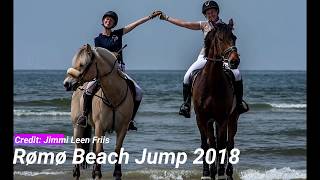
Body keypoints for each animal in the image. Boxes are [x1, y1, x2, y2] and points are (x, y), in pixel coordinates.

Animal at [62, 44, 134, 180]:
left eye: (82, 64)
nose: (66, 84)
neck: (114, 96)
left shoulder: (122, 128)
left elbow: (117, 150)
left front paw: (116, 174)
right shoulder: (100, 126)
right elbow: (99, 152)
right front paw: (97, 174)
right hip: (78, 127)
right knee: (79, 151)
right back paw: (77, 173)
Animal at [192, 19, 240, 179]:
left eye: (234, 37)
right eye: (219, 39)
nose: (234, 61)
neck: (212, 83)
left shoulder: (222, 118)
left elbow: (221, 146)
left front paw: (219, 173)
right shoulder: (202, 118)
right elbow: (207, 145)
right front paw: (207, 173)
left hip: (232, 118)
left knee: (229, 144)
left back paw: (228, 172)